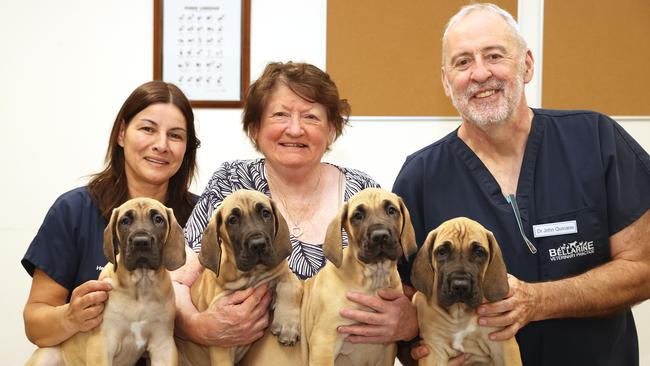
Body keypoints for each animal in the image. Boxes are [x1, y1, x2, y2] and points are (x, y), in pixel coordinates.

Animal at [26, 199, 185, 364]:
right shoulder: (103, 341)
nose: (141, 242)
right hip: (47, 354)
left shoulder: (163, 345)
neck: (142, 285)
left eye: (158, 219)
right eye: (125, 221)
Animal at [175, 190, 302, 366]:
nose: (258, 244)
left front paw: (287, 324)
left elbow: (292, 285)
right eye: (233, 220)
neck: (251, 275)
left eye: (265, 213)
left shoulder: (280, 271)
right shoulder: (221, 343)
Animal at [300, 189, 416, 366]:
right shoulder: (324, 341)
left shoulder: (388, 346)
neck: (374, 280)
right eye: (358, 215)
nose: (380, 236)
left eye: (391, 210)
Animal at [410, 217, 520, 366]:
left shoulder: (502, 345)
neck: (459, 312)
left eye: (479, 252)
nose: (460, 286)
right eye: (442, 251)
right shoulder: (434, 349)